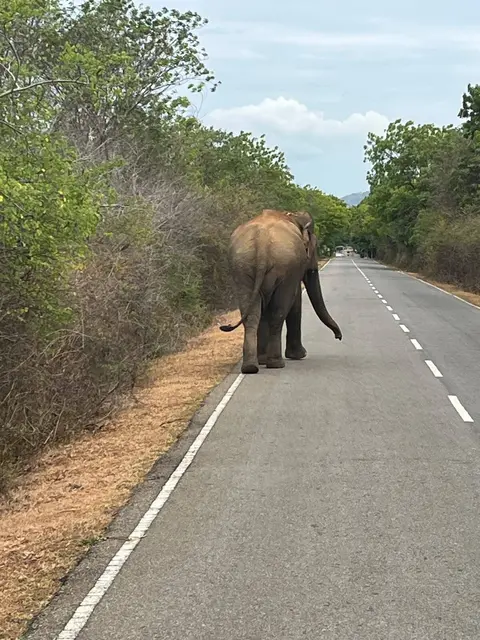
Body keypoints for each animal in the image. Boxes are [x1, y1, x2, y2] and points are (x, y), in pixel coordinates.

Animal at [219, 208, 342, 374]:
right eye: (312, 248)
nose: (338, 337)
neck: (292, 216)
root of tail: (262, 240)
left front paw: (263, 360)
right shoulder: (294, 270)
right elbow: (295, 300)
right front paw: (299, 355)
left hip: (242, 268)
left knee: (251, 314)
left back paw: (251, 366)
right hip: (280, 266)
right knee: (278, 312)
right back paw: (275, 363)